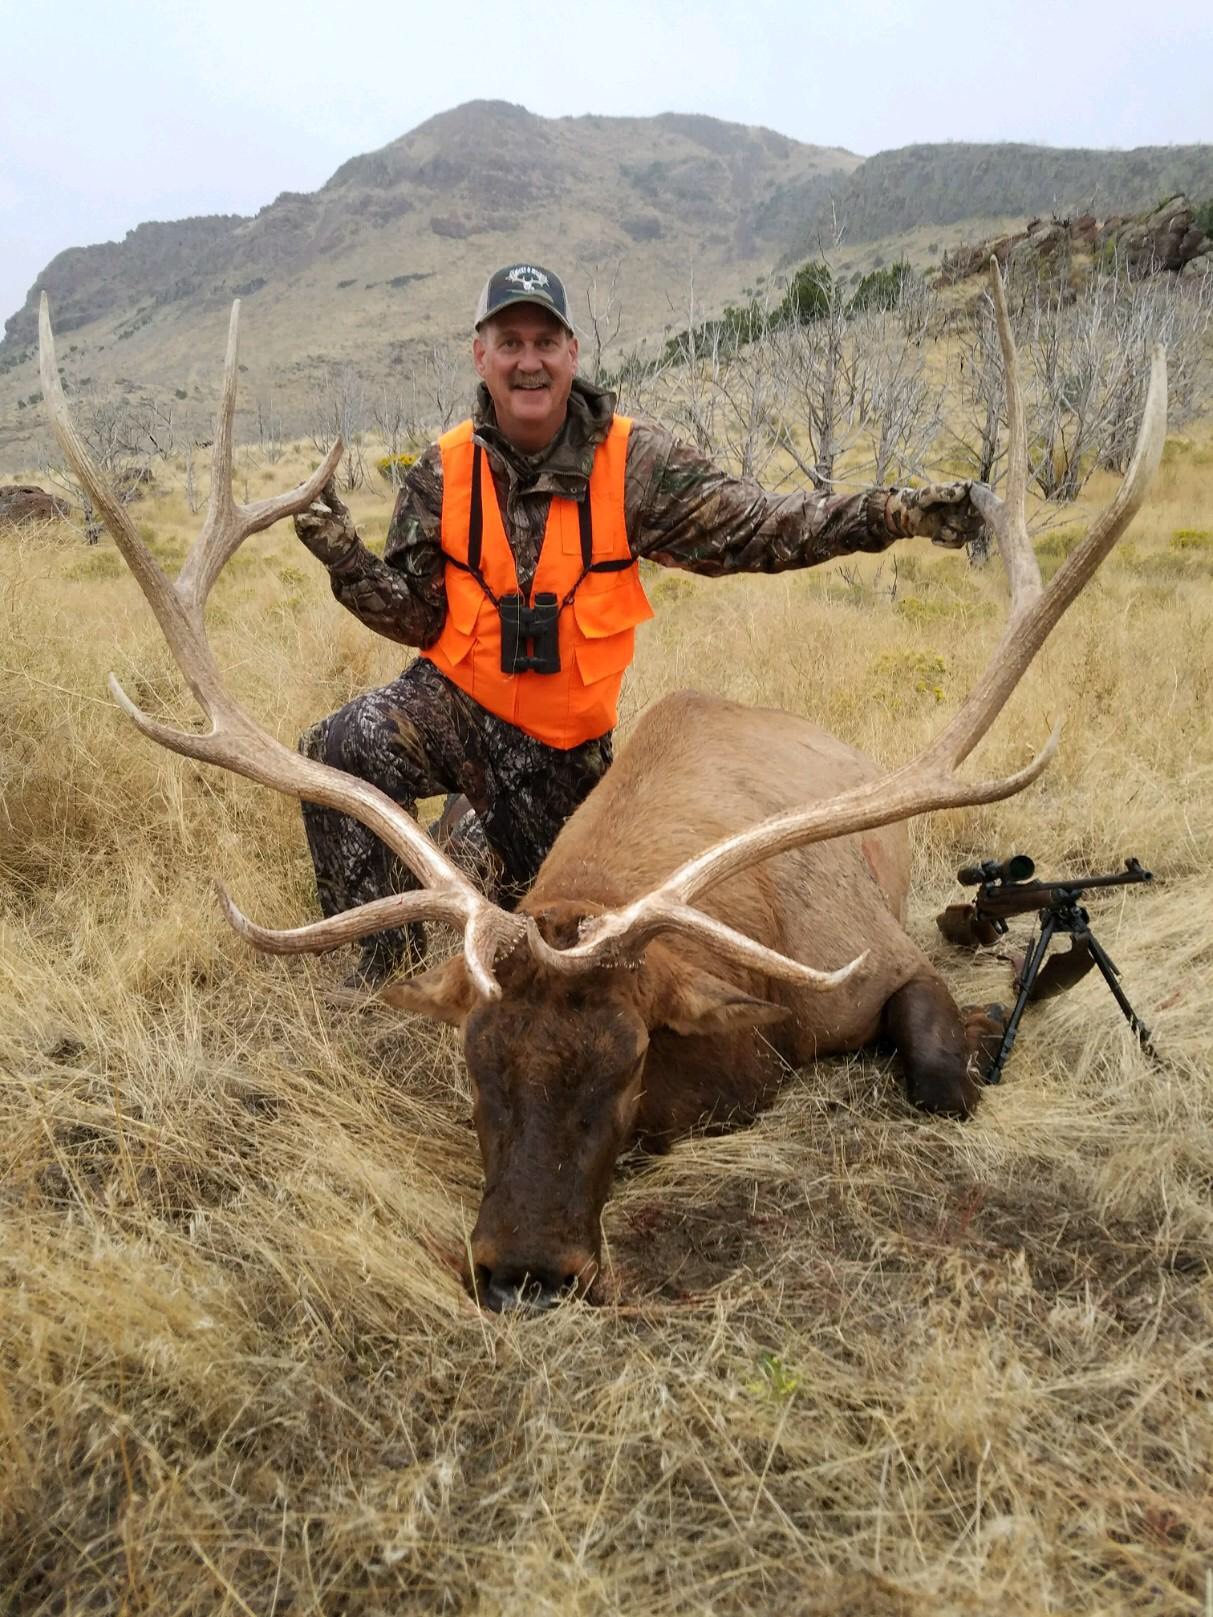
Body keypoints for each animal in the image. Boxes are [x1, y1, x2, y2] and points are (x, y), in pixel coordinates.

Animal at [39, 263, 1167, 1314]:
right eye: (474, 1063)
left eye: (626, 1064)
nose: (525, 1270)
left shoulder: (876, 958)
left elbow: (941, 1076)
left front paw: (996, 1019)